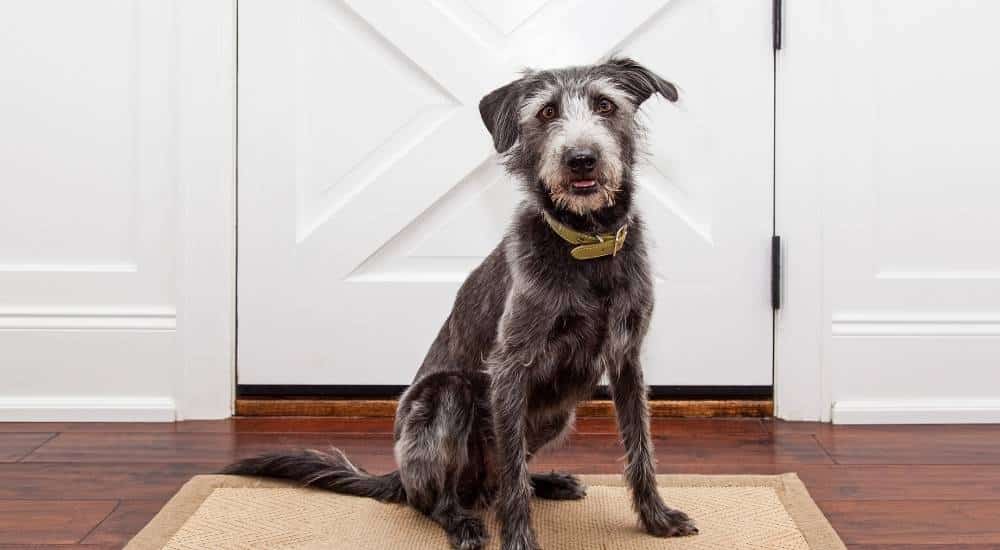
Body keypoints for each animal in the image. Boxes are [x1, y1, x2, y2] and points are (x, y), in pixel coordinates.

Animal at [226, 58, 696, 548]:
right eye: (547, 112)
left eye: (605, 105)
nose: (581, 158)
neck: (587, 247)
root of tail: (398, 476)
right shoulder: (510, 368)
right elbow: (512, 471)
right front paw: (519, 539)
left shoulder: (627, 361)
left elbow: (639, 447)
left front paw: (656, 517)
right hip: (446, 399)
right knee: (442, 497)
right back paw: (463, 523)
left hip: (558, 414)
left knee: (506, 475)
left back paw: (547, 482)